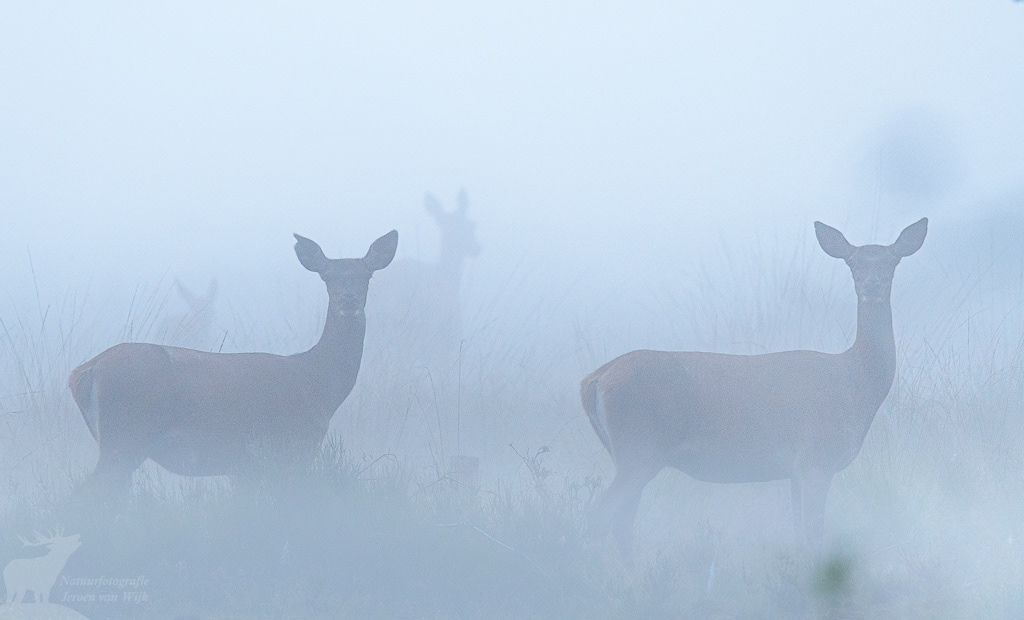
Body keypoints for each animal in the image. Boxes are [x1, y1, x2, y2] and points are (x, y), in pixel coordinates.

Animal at [68, 231, 398, 493]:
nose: (349, 299)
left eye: (366, 275)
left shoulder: (248, 464)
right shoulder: (293, 445)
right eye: (328, 277)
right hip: (125, 434)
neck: (318, 383)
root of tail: (83, 372)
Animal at [580, 218, 928, 557]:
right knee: (600, 519)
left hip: (628, 454)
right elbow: (814, 536)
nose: (873, 285)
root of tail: (593, 380)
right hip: (638, 448)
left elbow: (800, 534)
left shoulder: (795, 470)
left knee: (621, 524)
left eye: (892, 261)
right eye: (853, 262)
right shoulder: (816, 458)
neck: (856, 382)